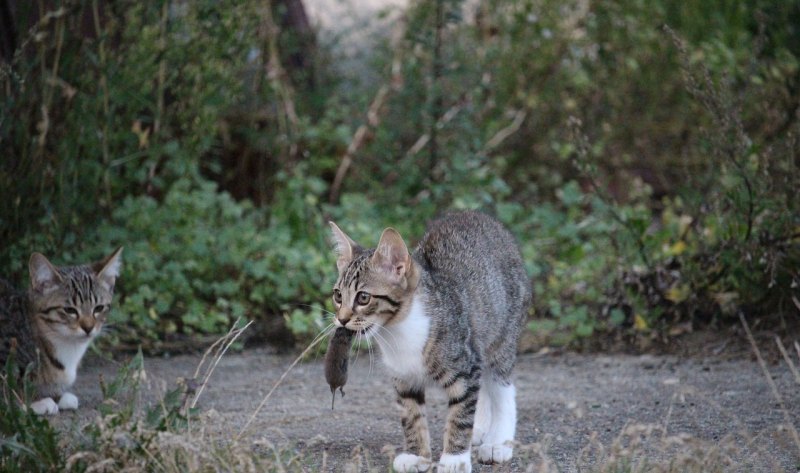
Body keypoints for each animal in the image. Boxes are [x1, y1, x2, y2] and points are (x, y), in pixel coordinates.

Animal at [330, 211, 532, 472]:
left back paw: (498, 442)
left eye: (363, 298)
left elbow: (460, 415)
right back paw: (480, 429)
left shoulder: (465, 367)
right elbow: (411, 416)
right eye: (338, 296)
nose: (342, 319)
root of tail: (477, 214)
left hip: (502, 337)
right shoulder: (404, 378)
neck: (397, 331)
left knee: (501, 387)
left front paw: (455, 458)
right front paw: (416, 455)